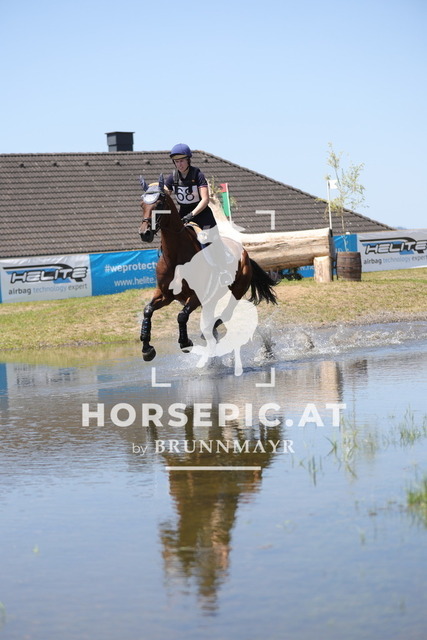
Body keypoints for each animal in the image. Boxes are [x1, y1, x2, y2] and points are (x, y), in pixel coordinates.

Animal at [138, 174, 277, 365]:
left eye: (159, 204)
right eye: (141, 205)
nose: (145, 234)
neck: (176, 257)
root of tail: (245, 253)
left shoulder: (196, 296)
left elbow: (182, 316)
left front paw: (185, 342)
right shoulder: (165, 295)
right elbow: (147, 311)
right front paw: (147, 349)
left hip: (236, 291)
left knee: (224, 316)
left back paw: (210, 333)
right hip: (211, 300)